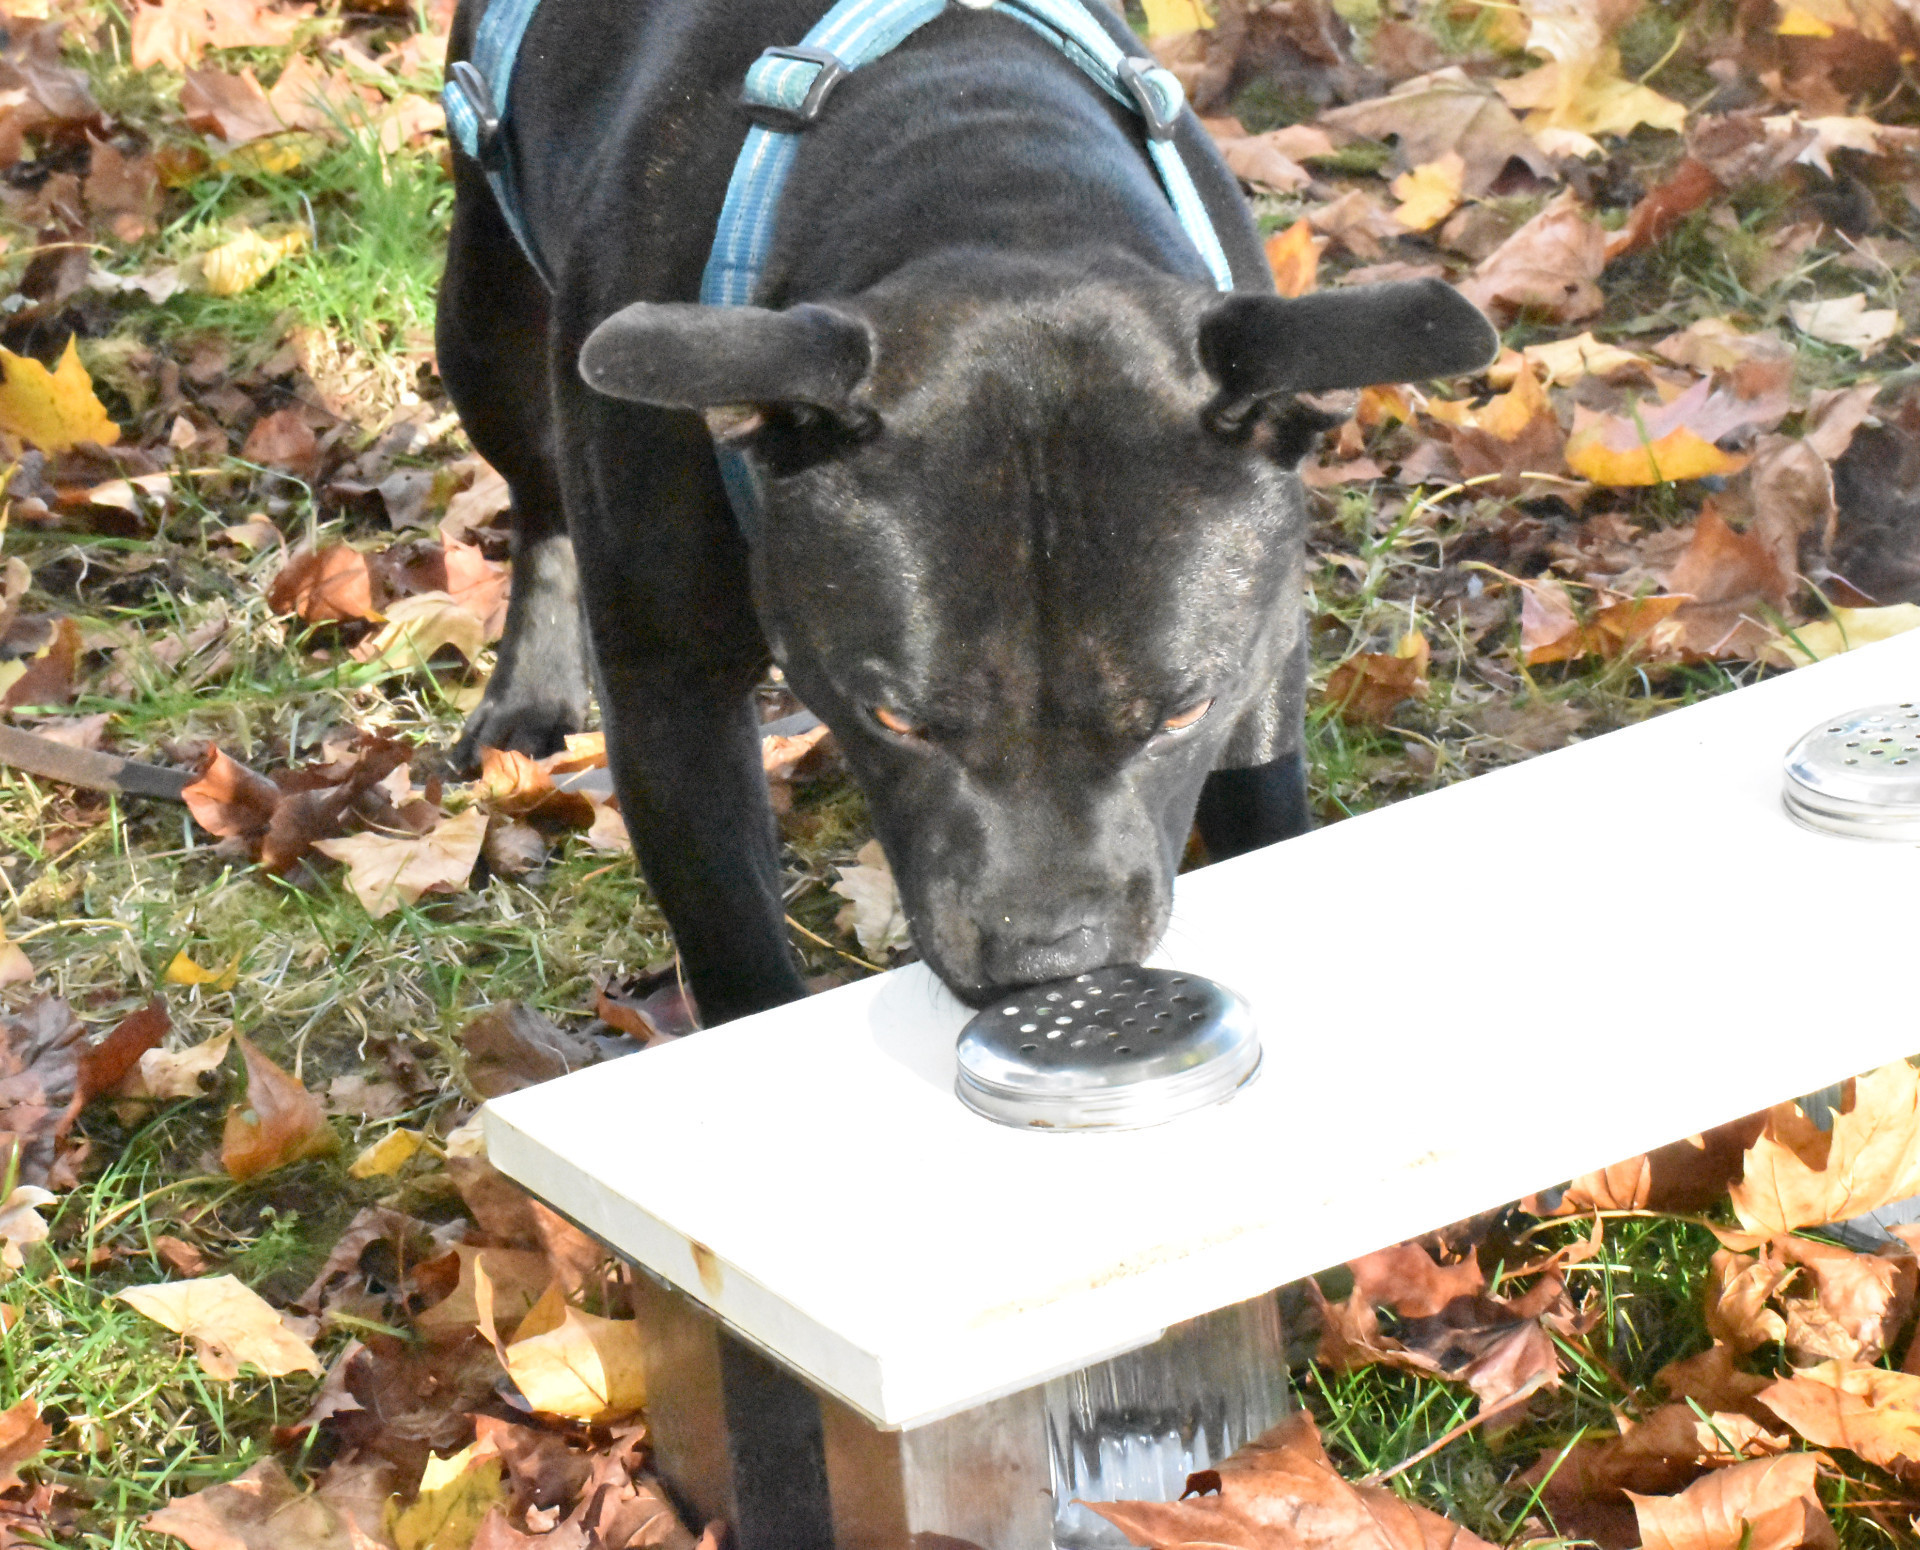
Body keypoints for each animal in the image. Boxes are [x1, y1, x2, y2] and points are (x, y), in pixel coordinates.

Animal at [436, 0, 1497, 1024]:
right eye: (893, 722)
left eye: (1182, 714)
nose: (1048, 960)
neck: (990, 190)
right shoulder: (669, 697)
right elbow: (734, 940)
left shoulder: (1262, 657)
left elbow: (1266, 813)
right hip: (483, 327)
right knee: (539, 497)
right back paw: (527, 695)